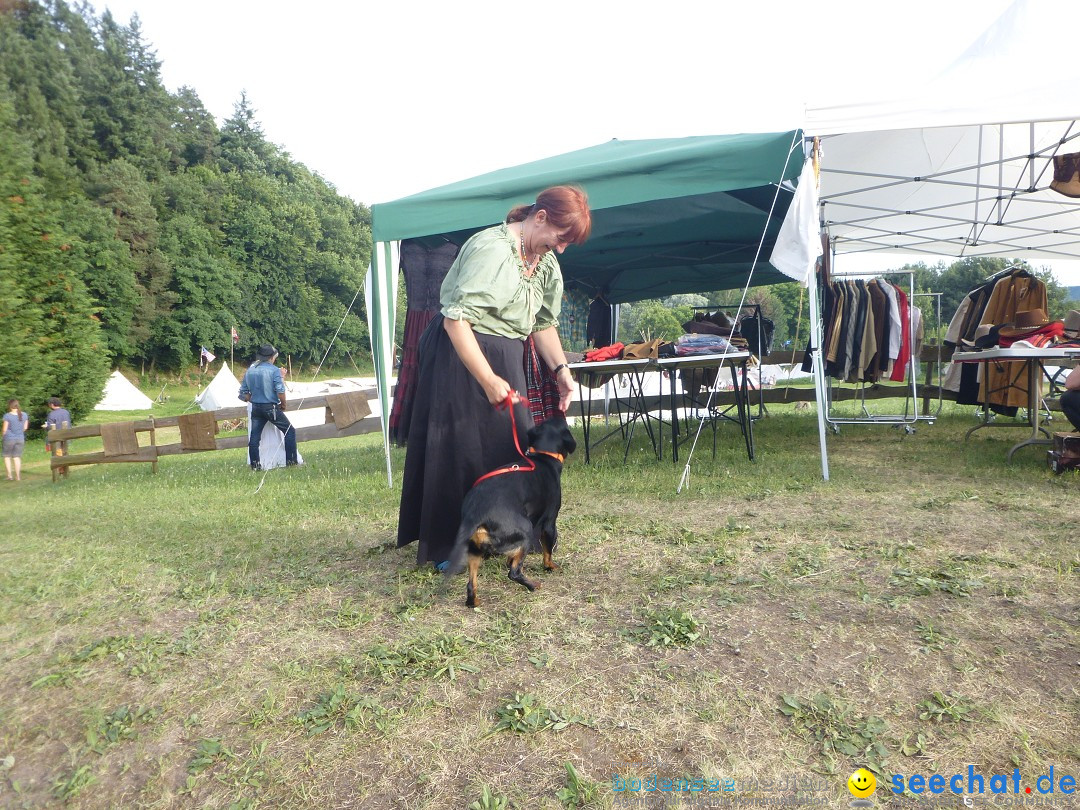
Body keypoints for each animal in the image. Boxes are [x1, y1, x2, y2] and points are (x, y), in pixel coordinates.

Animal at [447, 412, 578, 609]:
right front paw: (551, 567)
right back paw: (533, 585)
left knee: (471, 584)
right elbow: (547, 551)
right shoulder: (549, 522)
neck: (542, 457)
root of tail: (475, 515)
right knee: (514, 573)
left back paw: (473, 601)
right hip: (526, 532)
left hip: (475, 551)